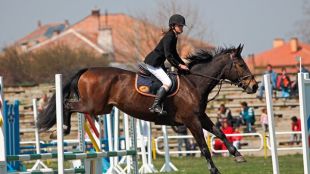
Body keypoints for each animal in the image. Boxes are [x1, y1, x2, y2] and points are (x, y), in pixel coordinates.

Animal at [37, 44, 258, 174]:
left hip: (102, 109)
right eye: (240, 64)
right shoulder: (191, 121)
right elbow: (204, 147)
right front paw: (214, 170)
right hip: (93, 106)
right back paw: (62, 129)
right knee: (67, 104)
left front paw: (237, 155)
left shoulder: (200, 116)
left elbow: (219, 132)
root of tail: (87, 70)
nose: (254, 86)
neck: (194, 83)